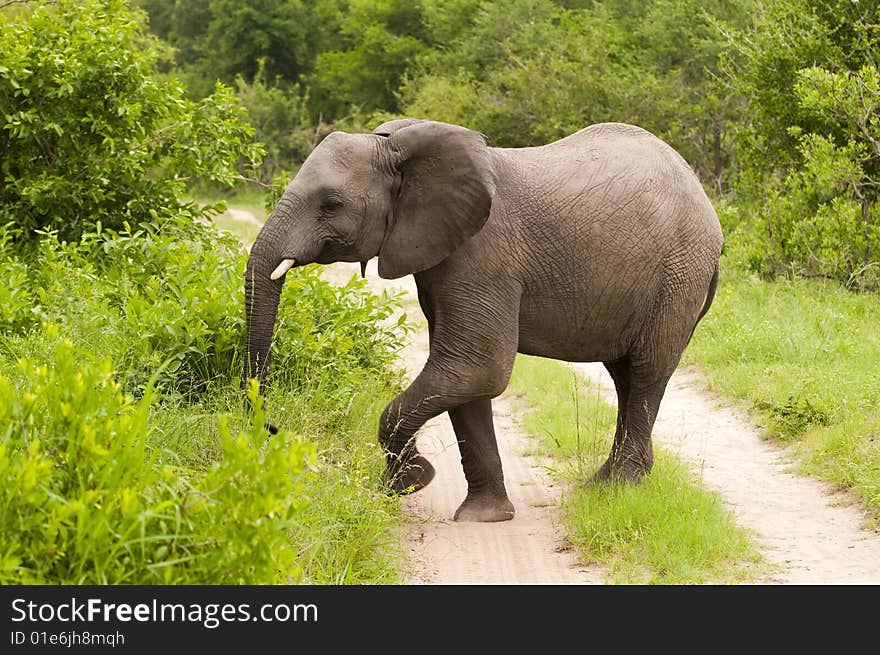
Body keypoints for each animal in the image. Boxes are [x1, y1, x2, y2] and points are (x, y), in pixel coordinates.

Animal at [246, 119, 720, 524]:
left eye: (331, 204)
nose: (271, 428)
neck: (400, 148)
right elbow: (464, 382)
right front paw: (484, 516)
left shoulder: (482, 256)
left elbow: (476, 368)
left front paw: (410, 482)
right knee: (624, 378)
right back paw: (601, 485)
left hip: (679, 276)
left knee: (645, 374)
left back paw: (617, 489)